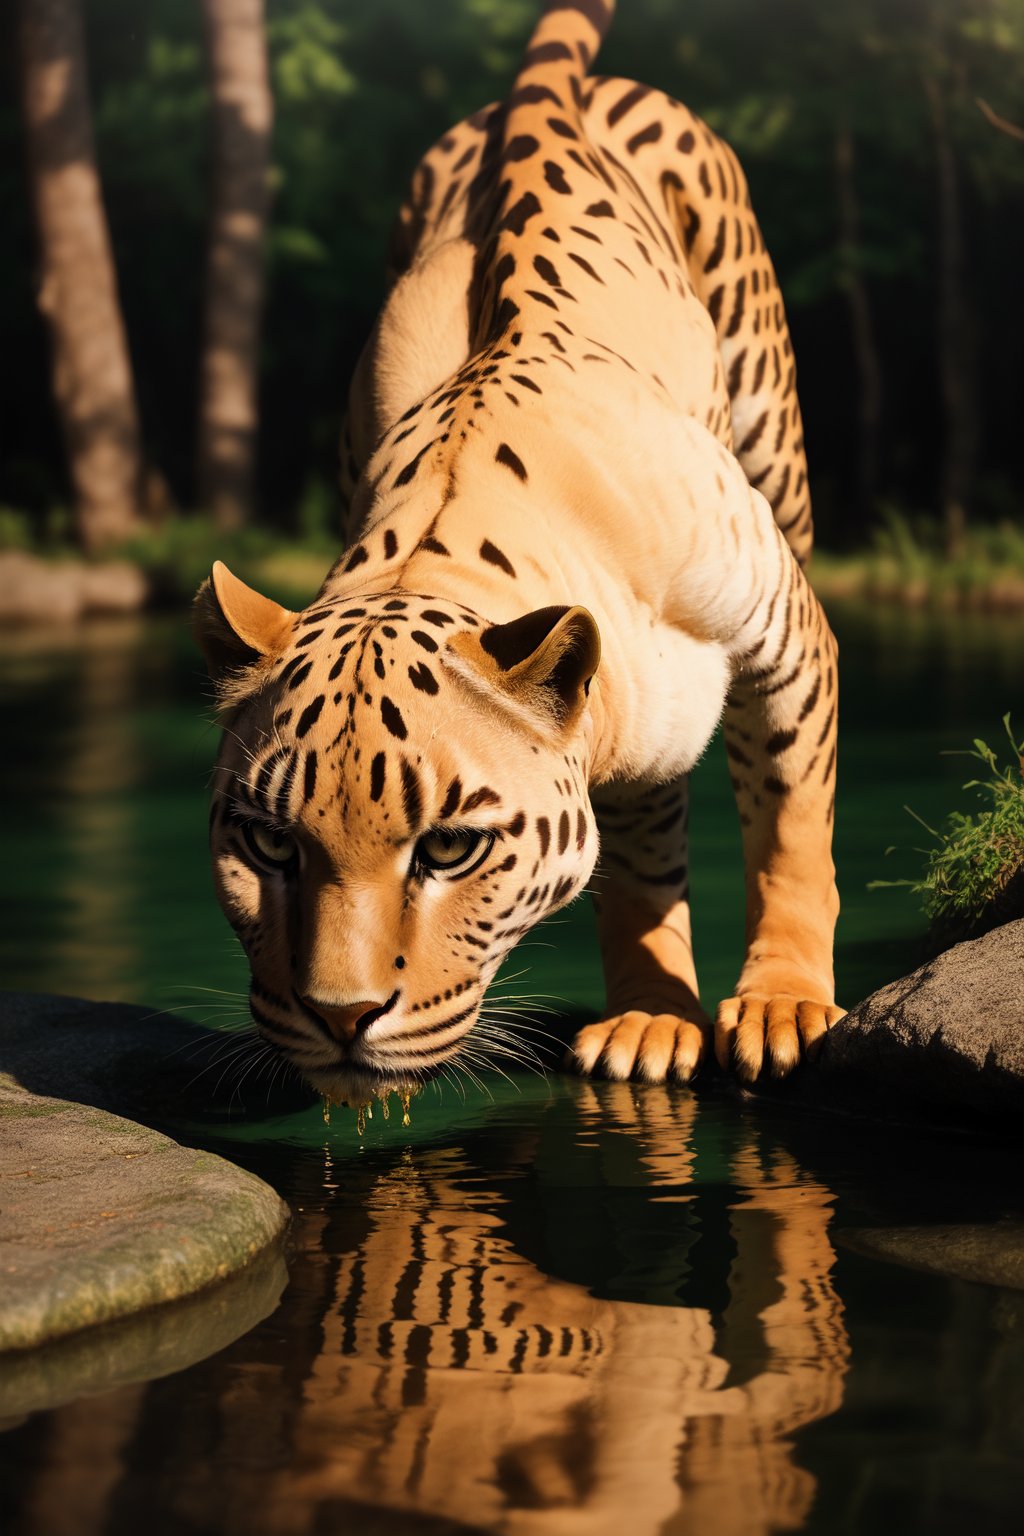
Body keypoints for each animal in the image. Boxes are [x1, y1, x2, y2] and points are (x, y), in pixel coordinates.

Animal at [191, 0, 841, 1105]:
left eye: (449, 850)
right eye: (272, 844)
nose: (339, 1018)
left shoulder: (785, 631)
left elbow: (788, 819)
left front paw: (783, 1004)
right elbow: (637, 863)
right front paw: (651, 1016)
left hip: (771, 427)